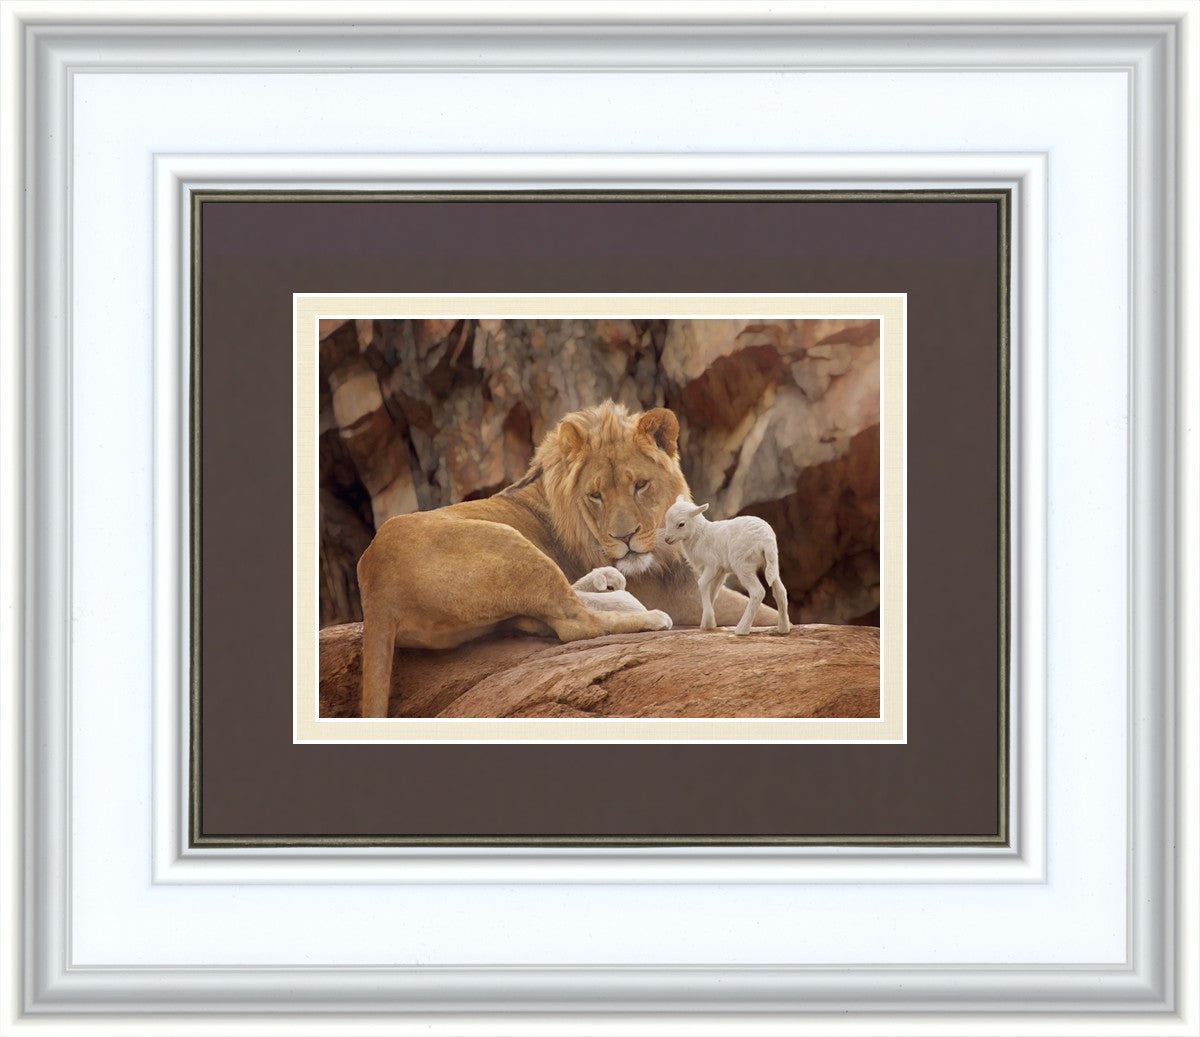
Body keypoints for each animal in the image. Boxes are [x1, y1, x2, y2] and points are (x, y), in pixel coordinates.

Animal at [662, 495, 791, 636]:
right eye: (666, 519)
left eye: (681, 524)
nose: (667, 539)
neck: (700, 535)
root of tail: (766, 539)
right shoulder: (720, 572)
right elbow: (713, 592)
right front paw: (707, 623)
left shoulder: (712, 565)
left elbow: (702, 584)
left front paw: (708, 620)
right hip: (771, 562)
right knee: (780, 591)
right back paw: (783, 628)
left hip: (743, 565)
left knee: (758, 592)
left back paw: (742, 629)